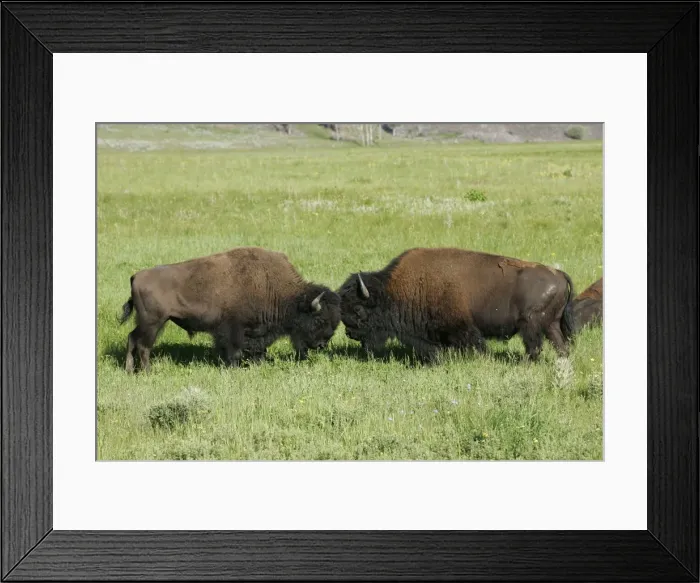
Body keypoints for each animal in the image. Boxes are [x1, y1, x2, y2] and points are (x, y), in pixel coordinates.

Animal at [119, 246, 341, 372]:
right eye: (320, 319)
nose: (322, 344)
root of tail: (136, 276)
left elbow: (257, 350)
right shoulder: (233, 329)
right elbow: (234, 351)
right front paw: (233, 368)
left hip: (146, 323)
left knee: (132, 339)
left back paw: (129, 370)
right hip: (153, 323)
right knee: (144, 346)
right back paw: (147, 371)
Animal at [338, 247, 575, 362]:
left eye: (358, 309)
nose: (350, 333)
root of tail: (559, 274)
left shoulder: (463, 329)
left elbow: (476, 346)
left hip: (531, 324)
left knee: (534, 347)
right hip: (551, 325)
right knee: (561, 346)